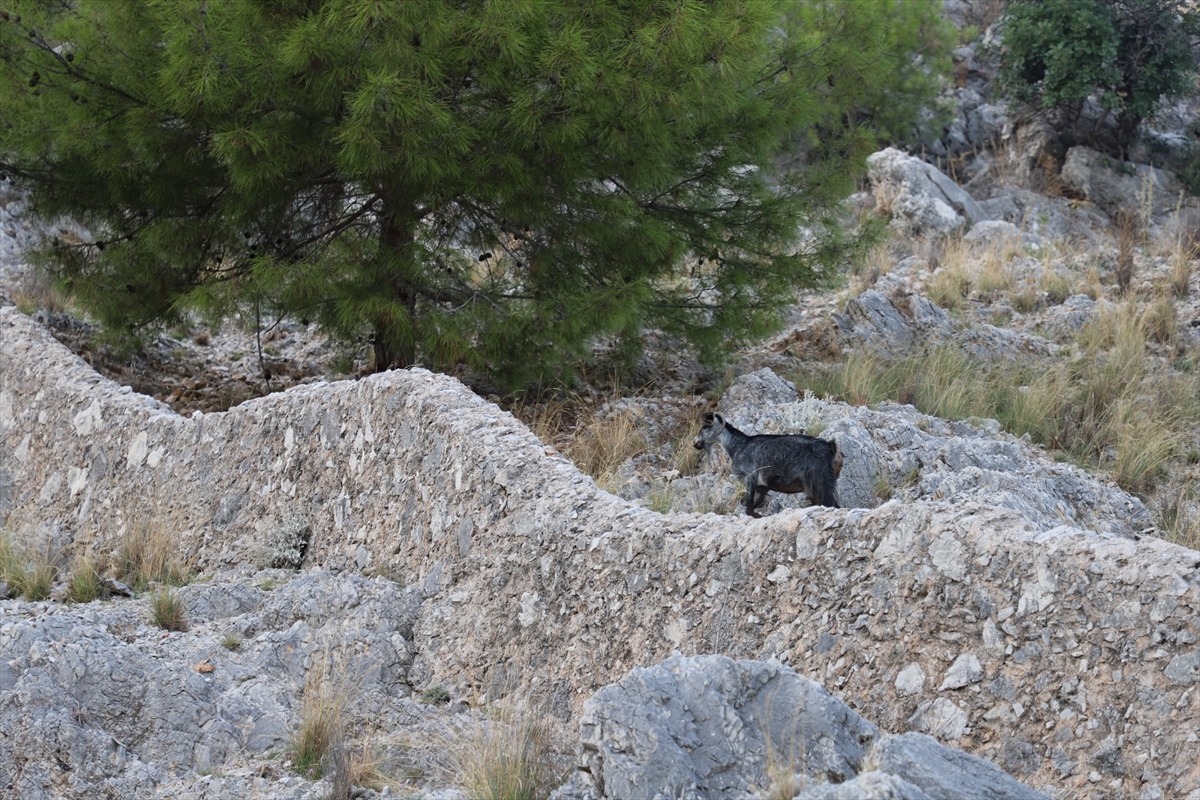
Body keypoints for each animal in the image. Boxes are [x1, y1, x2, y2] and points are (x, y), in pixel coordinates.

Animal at [696, 412, 844, 520]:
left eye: (705, 427)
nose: (695, 443)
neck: (739, 446)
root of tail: (831, 448)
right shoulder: (763, 486)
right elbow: (754, 504)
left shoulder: (750, 477)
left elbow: (749, 506)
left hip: (820, 483)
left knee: (833, 504)